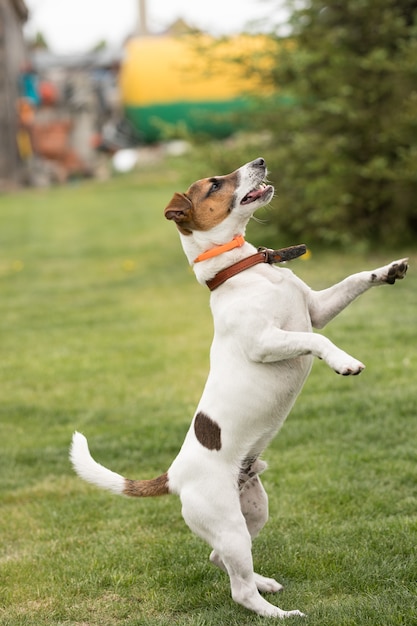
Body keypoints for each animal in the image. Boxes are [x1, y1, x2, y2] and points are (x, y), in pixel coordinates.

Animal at [70, 158, 408, 616]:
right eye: (215, 184)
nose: (260, 161)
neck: (245, 270)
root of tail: (174, 475)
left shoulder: (316, 309)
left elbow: (355, 280)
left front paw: (388, 270)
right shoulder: (266, 342)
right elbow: (318, 342)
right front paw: (344, 362)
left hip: (253, 512)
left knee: (221, 560)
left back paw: (265, 583)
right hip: (227, 523)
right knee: (239, 590)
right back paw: (280, 614)